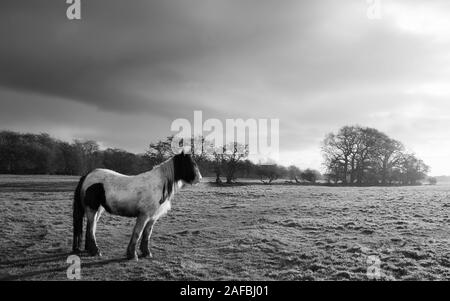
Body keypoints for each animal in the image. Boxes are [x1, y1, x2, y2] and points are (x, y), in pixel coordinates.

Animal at [71, 151, 201, 258]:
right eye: (190, 163)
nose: (199, 179)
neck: (158, 185)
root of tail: (88, 175)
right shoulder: (144, 215)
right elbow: (138, 233)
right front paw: (132, 254)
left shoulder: (152, 217)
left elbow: (147, 234)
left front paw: (146, 253)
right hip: (92, 209)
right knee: (90, 229)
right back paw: (96, 251)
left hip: (98, 210)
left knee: (91, 228)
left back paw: (90, 250)